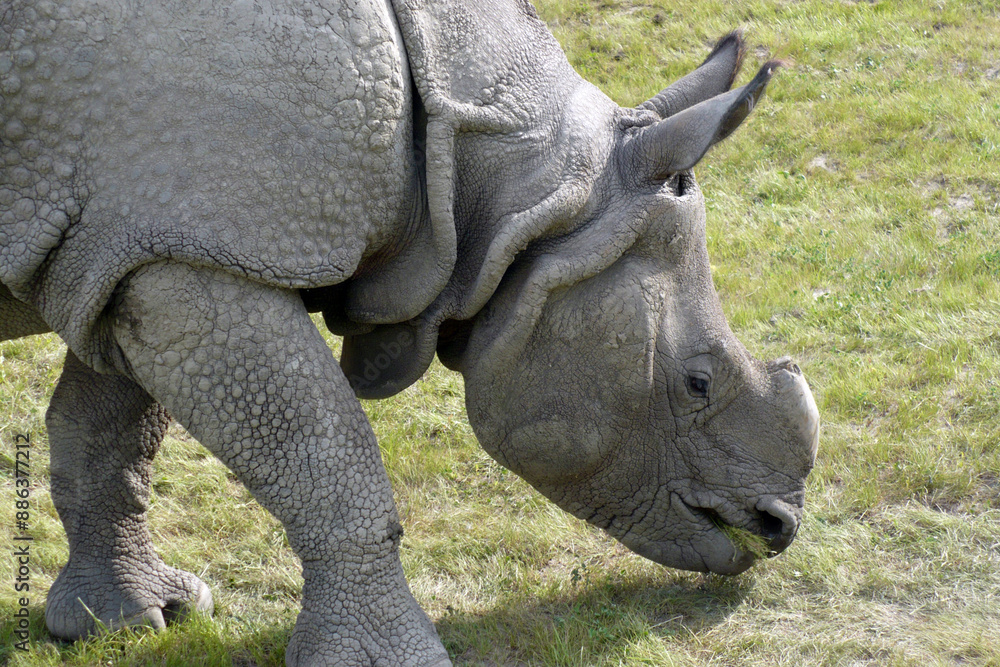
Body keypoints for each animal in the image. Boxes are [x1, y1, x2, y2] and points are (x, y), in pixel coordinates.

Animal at [1, 0, 818, 664]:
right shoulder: (190, 252)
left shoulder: (143, 239)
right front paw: (384, 660)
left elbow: (108, 433)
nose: (776, 527)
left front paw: (131, 620)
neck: (514, 191)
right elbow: (329, 467)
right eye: (697, 382)